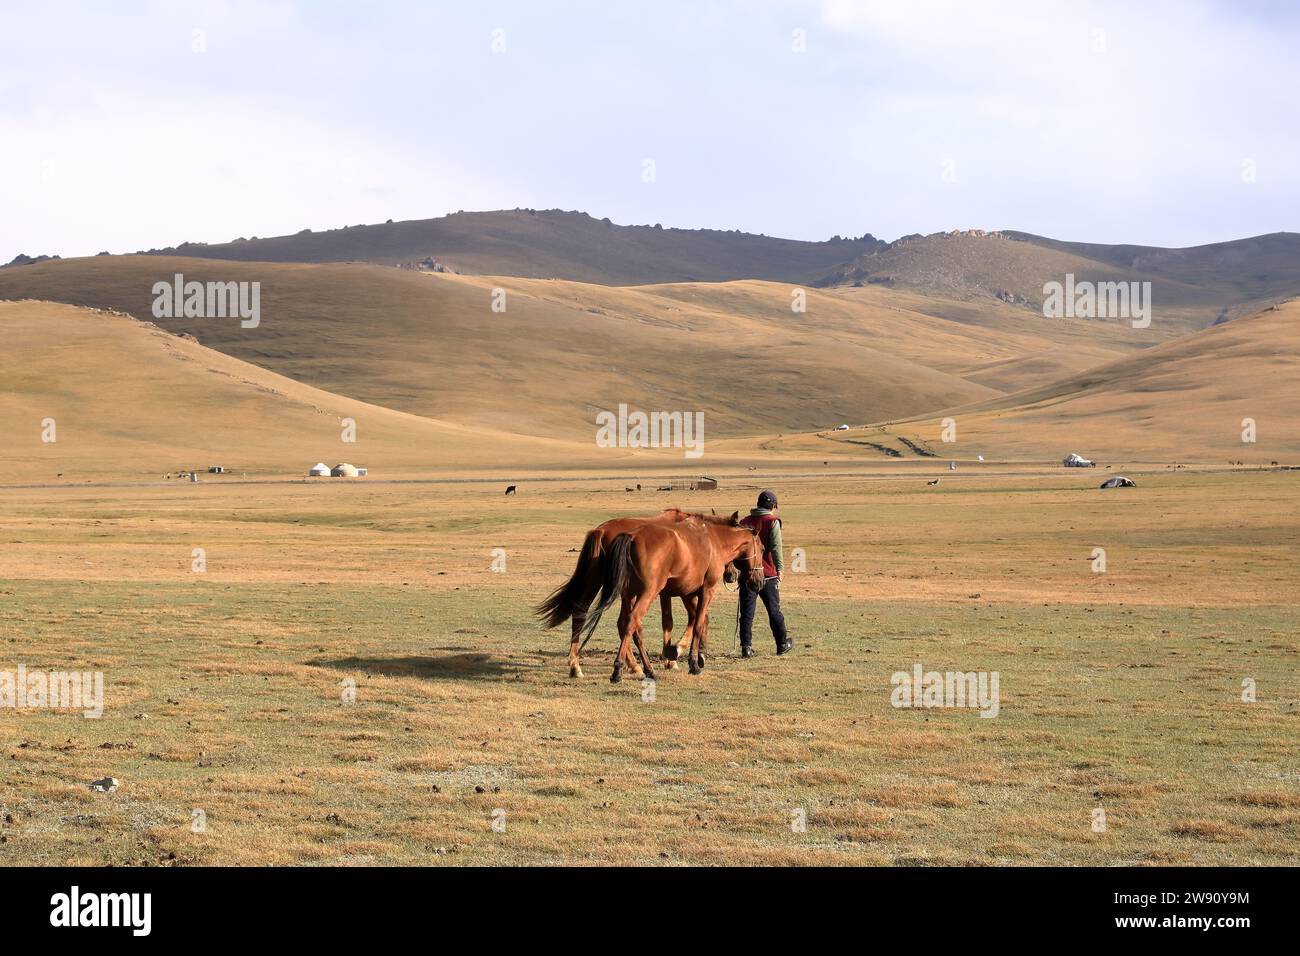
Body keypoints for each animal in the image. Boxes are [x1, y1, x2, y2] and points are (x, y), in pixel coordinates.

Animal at [533, 509, 707, 681]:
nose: (703, 656)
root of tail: (601, 531)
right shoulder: (670, 590)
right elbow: (677, 620)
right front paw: (673, 657)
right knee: (624, 622)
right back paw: (633, 667)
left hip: (597, 580)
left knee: (581, 614)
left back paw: (577, 667)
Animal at [579, 512, 759, 686]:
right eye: (762, 548)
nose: (759, 581)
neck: (714, 540)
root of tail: (631, 537)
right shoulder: (706, 590)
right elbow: (698, 623)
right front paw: (691, 661)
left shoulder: (686, 592)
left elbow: (691, 619)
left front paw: (689, 653)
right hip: (647, 593)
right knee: (631, 622)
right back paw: (618, 671)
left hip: (629, 594)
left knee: (631, 627)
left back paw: (647, 670)